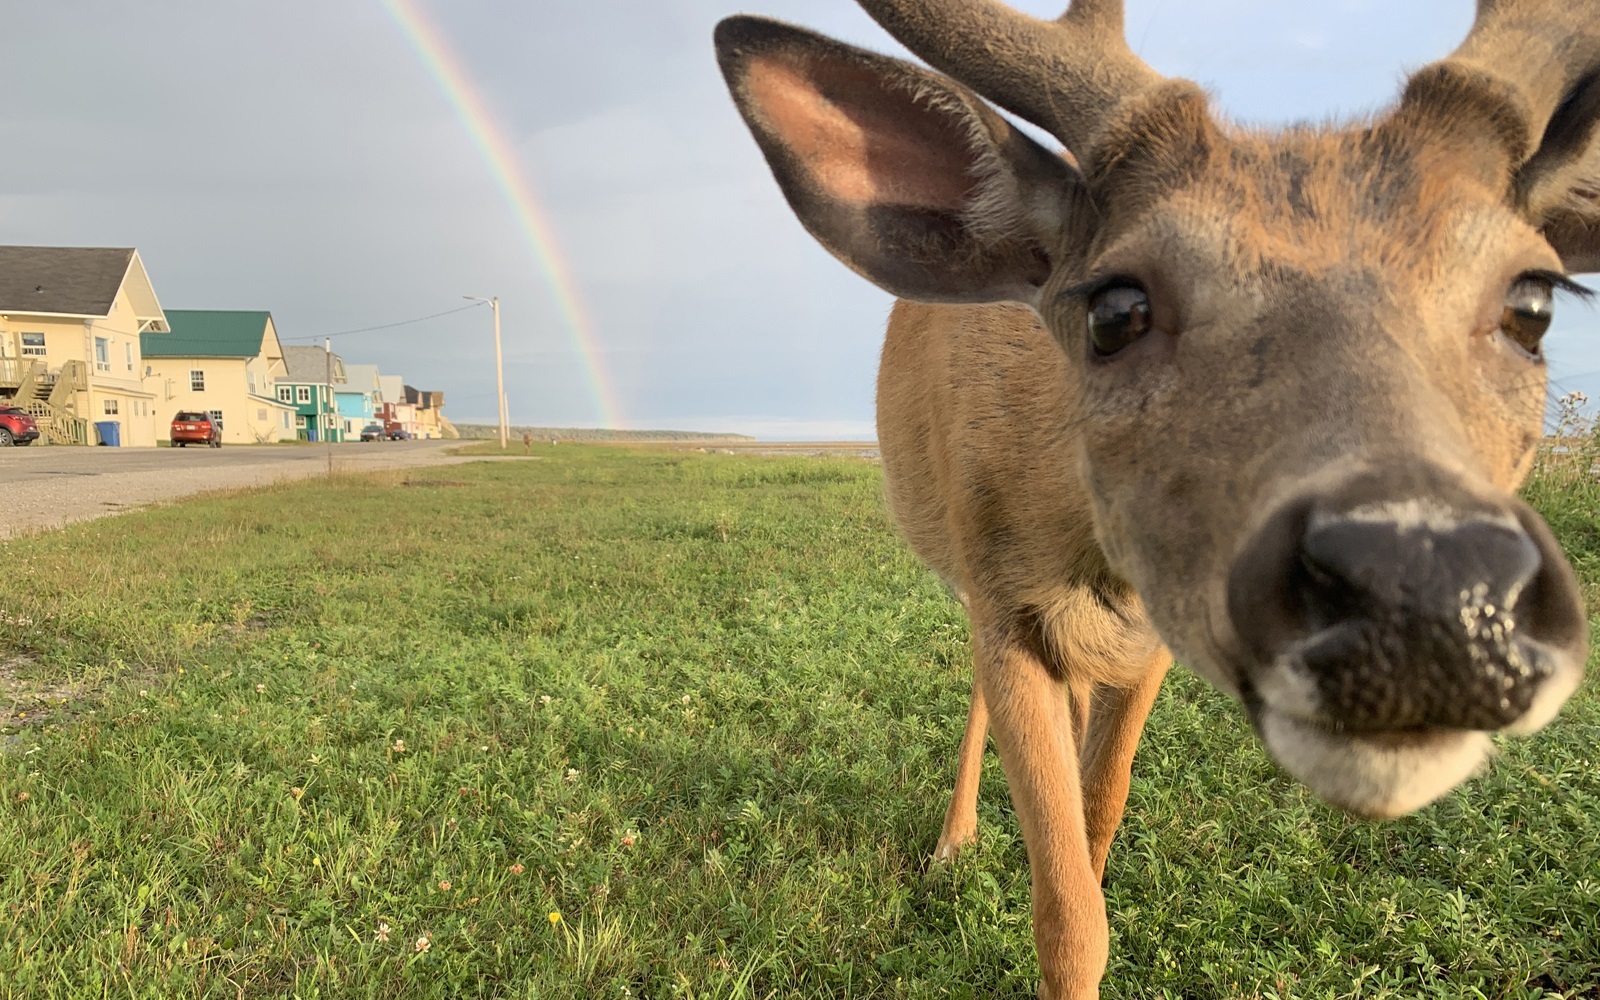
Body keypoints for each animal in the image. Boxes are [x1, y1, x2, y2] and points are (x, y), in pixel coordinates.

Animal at [714, 1, 1598, 995]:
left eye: (1534, 301)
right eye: (1116, 310)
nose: (1432, 602)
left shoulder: (1148, 643)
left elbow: (1099, 822)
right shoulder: (1001, 602)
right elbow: (1068, 914)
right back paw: (953, 843)